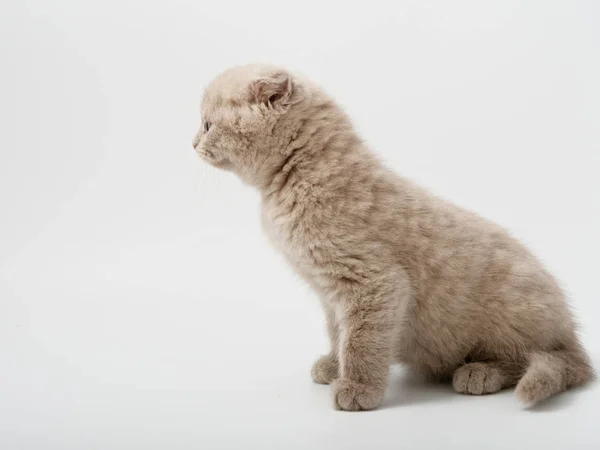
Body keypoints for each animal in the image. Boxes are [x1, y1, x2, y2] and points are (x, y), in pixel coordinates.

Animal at [193, 64, 596, 412]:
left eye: (208, 124)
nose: (192, 143)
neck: (301, 175)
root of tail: (571, 332)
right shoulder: (331, 294)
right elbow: (338, 333)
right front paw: (333, 365)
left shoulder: (374, 282)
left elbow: (361, 341)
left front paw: (358, 388)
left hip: (513, 314)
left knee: (538, 357)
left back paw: (480, 372)